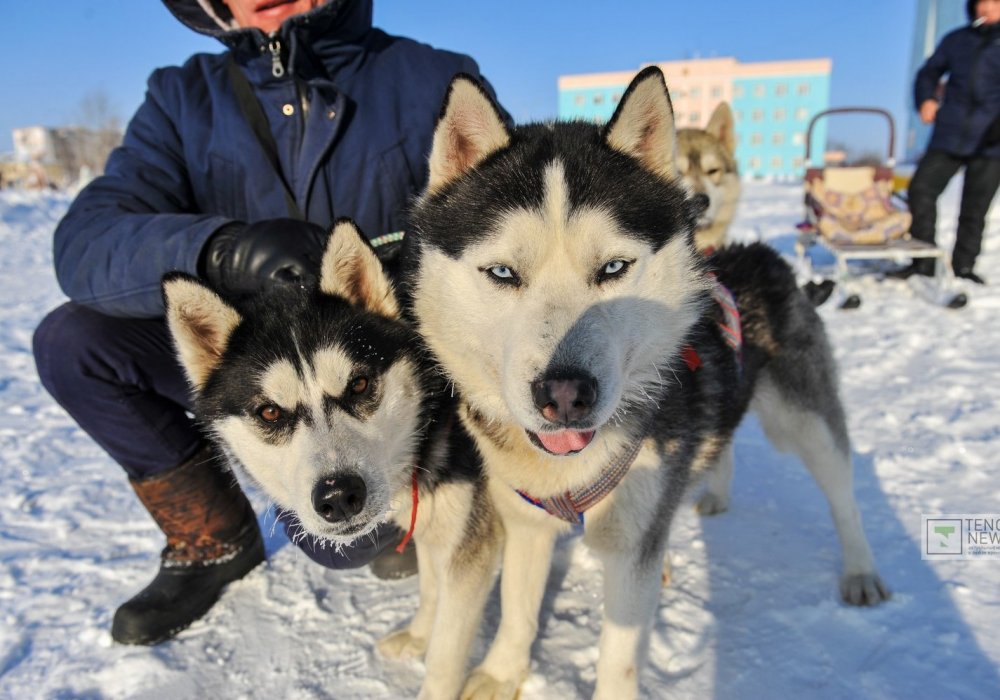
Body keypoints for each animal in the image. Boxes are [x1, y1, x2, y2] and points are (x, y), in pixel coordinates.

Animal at [168, 221, 504, 696]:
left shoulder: (472, 541)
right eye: (269, 412)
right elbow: (431, 592)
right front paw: (418, 636)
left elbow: (445, 654)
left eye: (359, 385)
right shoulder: (437, 529)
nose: (339, 496)